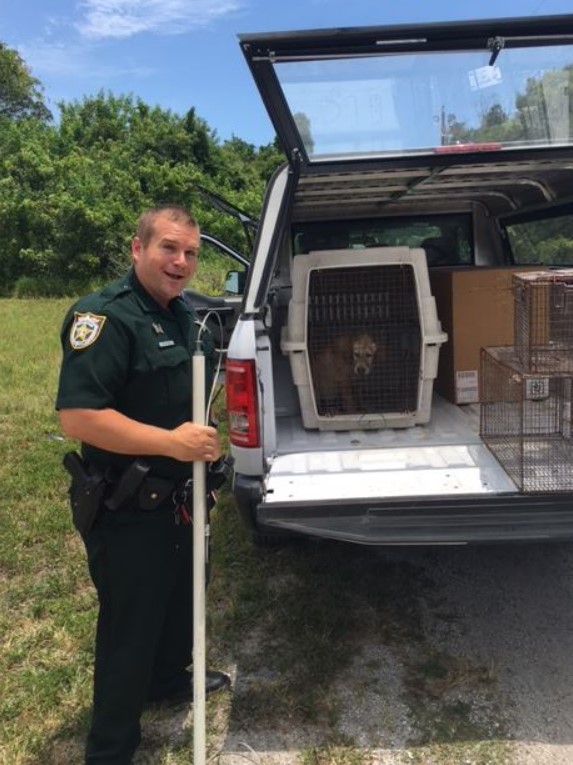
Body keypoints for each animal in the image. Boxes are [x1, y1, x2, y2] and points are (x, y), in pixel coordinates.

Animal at [306, 264, 422, 418]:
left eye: (369, 355)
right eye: (356, 354)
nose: (361, 369)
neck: (349, 361)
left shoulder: (357, 383)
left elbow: (359, 397)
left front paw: (361, 408)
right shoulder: (345, 382)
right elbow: (350, 402)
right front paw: (353, 413)